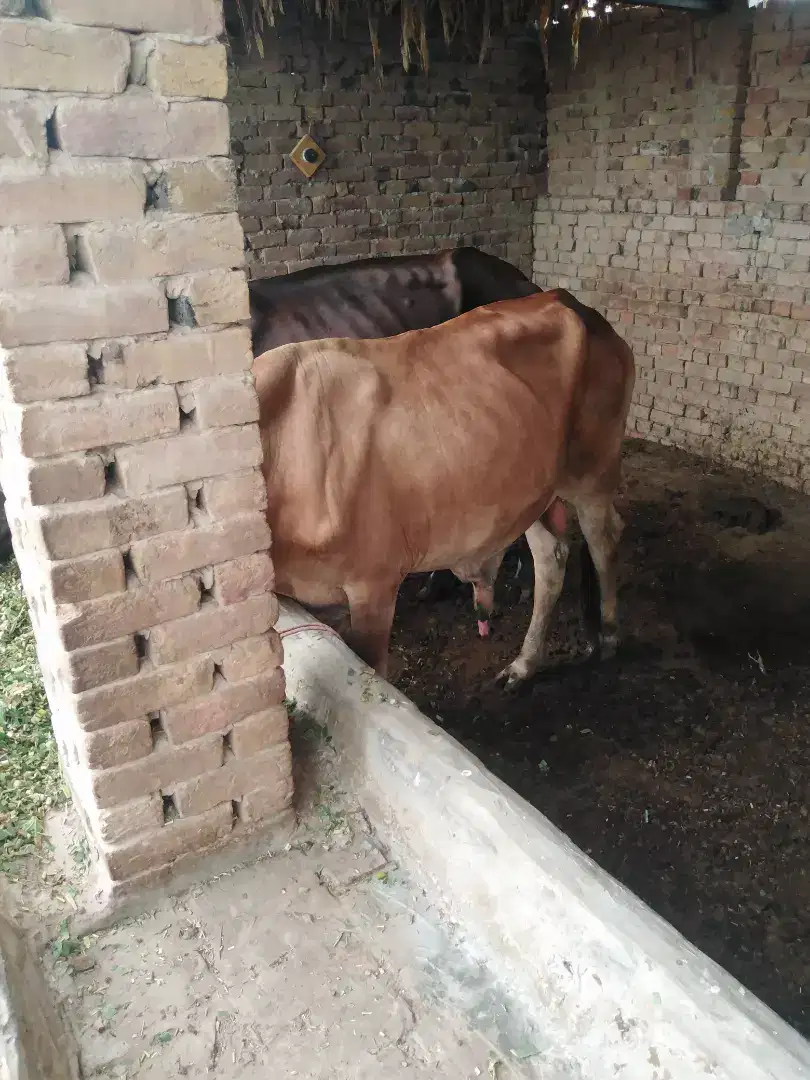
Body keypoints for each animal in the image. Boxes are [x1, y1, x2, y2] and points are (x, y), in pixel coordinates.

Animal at [253, 289, 635, 689]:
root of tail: (568, 300)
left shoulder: (373, 583)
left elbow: (373, 669)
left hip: (593, 472)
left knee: (605, 538)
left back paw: (609, 636)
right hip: (532, 491)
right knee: (552, 556)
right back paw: (523, 665)